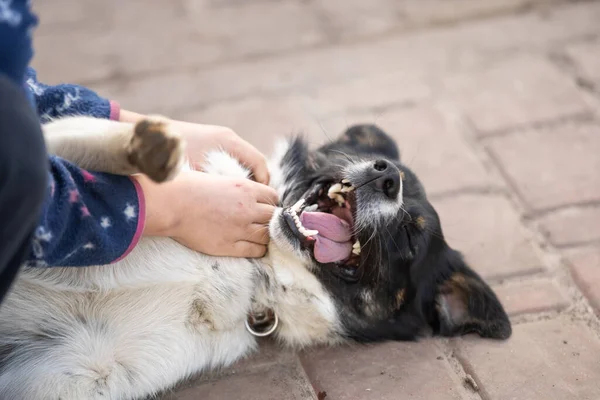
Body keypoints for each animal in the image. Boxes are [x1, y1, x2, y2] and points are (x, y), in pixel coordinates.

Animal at [0, 115, 510, 396]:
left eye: (409, 238)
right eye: (393, 169)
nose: (386, 176)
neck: (256, 266)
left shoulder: (71, 373)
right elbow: (70, 136)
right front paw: (146, 147)